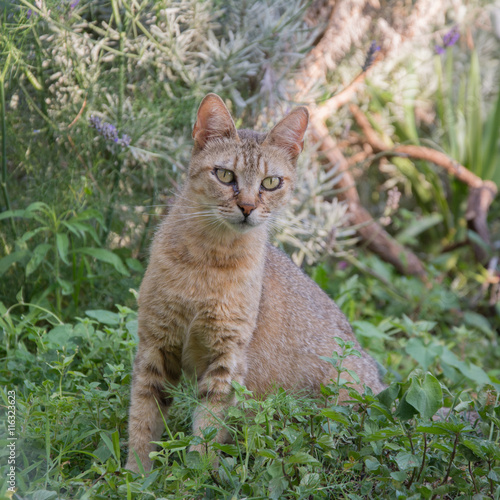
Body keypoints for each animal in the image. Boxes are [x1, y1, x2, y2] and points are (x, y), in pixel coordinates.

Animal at [126, 94, 386, 472]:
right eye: (224, 175)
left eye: (270, 183)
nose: (247, 207)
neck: (210, 262)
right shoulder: (155, 344)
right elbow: (143, 419)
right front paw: (134, 474)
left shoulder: (228, 358)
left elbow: (207, 430)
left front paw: (195, 475)